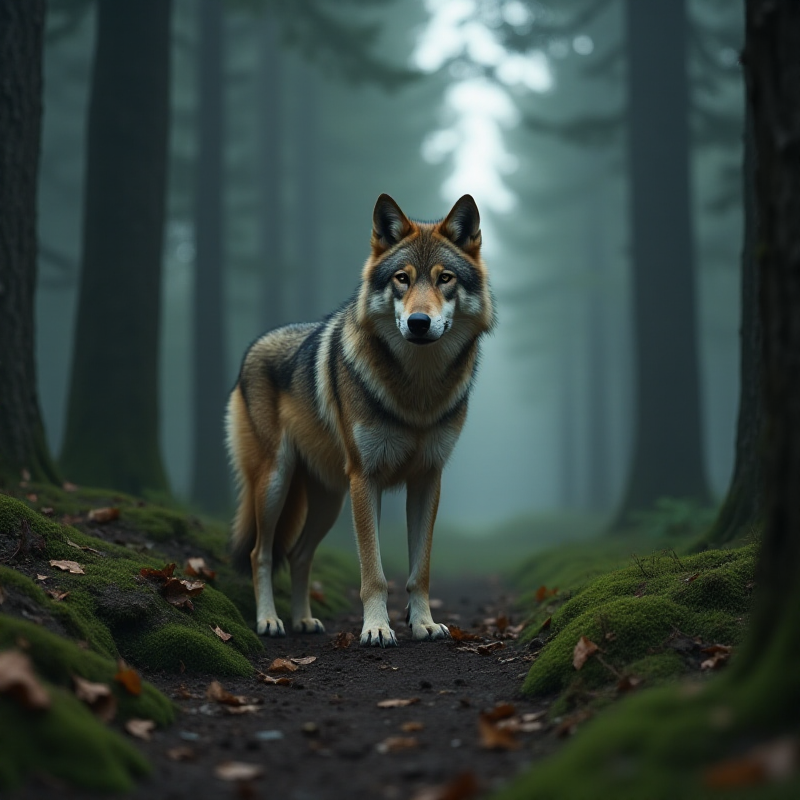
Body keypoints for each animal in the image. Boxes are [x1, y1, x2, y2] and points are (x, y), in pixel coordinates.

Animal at [226, 193, 495, 646]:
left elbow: (419, 571)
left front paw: (423, 624)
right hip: (277, 483)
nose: (418, 323)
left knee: (298, 554)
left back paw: (304, 620)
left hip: (329, 499)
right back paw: (269, 621)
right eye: (402, 279)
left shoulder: (427, 479)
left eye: (444, 279)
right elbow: (374, 574)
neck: (417, 391)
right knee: (260, 553)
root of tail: (255, 345)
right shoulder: (365, 478)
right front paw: (376, 628)